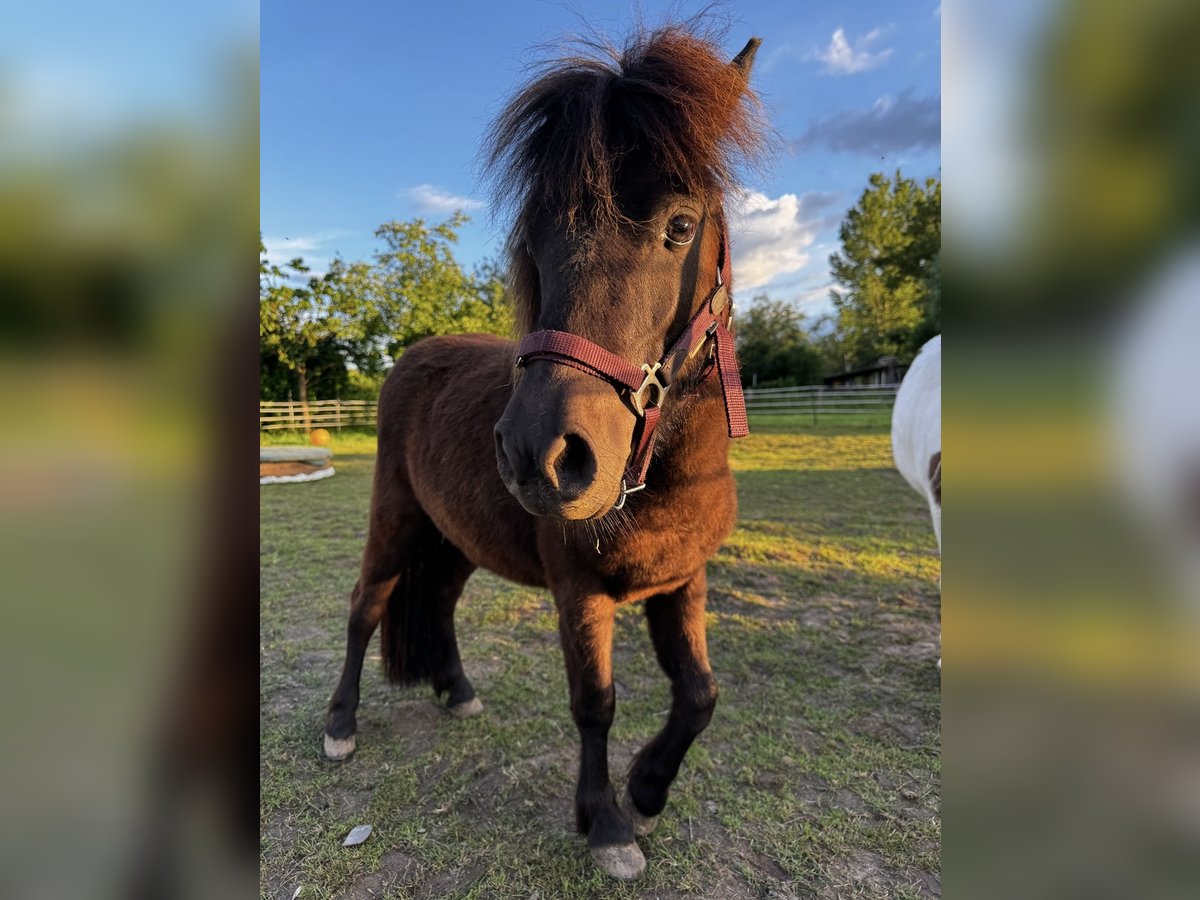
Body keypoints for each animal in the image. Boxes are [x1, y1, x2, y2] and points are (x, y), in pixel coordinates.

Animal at [324, 26, 763, 883]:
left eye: (680, 225)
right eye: (534, 239)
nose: (541, 455)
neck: (665, 479)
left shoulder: (682, 581)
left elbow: (700, 693)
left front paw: (648, 790)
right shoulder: (579, 594)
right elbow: (595, 704)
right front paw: (609, 824)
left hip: (454, 539)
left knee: (437, 602)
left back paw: (457, 691)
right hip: (395, 521)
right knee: (366, 606)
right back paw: (340, 724)